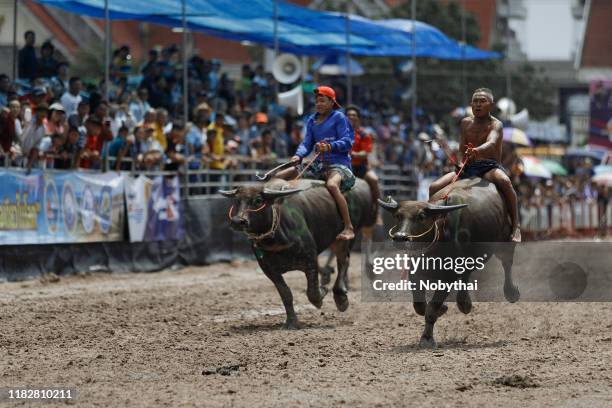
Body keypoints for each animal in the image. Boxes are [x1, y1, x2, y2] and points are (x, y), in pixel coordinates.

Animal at [222, 178, 376, 328]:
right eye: (236, 200)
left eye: (258, 200)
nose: (237, 221)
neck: (275, 238)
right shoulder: (268, 269)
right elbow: (286, 294)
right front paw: (291, 322)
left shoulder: (310, 258)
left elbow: (313, 292)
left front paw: (322, 292)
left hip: (347, 237)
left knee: (344, 261)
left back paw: (341, 297)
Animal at [380, 177, 520, 350]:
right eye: (398, 216)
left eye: (421, 216)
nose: (400, 237)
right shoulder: (415, 273)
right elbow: (419, 306)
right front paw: (443, 308)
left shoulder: (447, 279)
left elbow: (431, 308)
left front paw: (427, 338)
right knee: (466, 275)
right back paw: (465, 302)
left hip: (505, 240)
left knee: (507, 263)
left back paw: (511, 292)